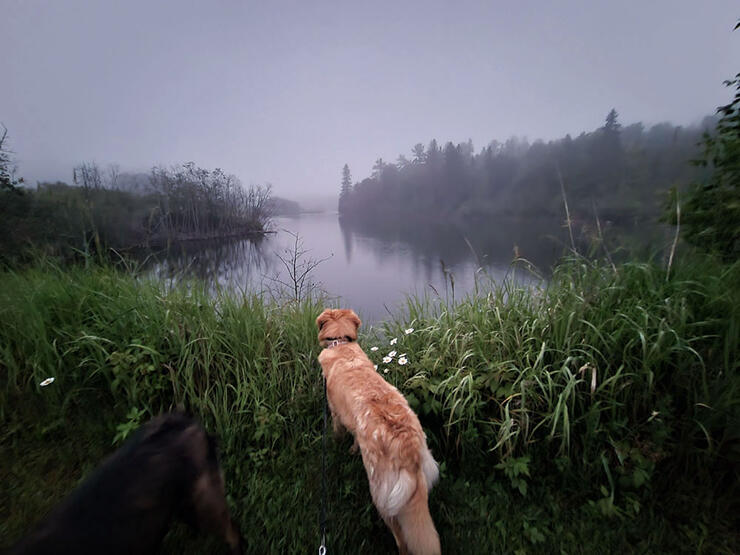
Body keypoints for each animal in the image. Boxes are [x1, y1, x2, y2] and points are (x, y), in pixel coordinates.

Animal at [314, 308, 440, 555]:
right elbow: (354, 438)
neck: (341, 344)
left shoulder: (335, 413)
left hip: (382, 494)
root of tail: (409, 450)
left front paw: (336, 446)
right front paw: (353, 449)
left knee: (400, 536)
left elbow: (337, 434)